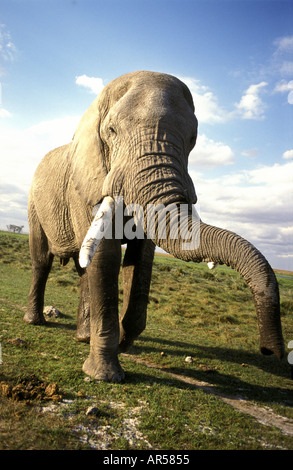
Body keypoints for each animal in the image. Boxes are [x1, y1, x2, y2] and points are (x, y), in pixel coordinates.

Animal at [24, 70, 282, 382]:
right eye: (112, 131)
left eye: (193, 139)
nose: (270, 350)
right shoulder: (86, 184)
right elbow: (107, 257)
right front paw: (104, 375)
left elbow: (140, 260)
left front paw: (123, 342)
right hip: (34, 202)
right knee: (42, 260)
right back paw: (35, 322)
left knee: (84, 269)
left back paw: (83, 337)